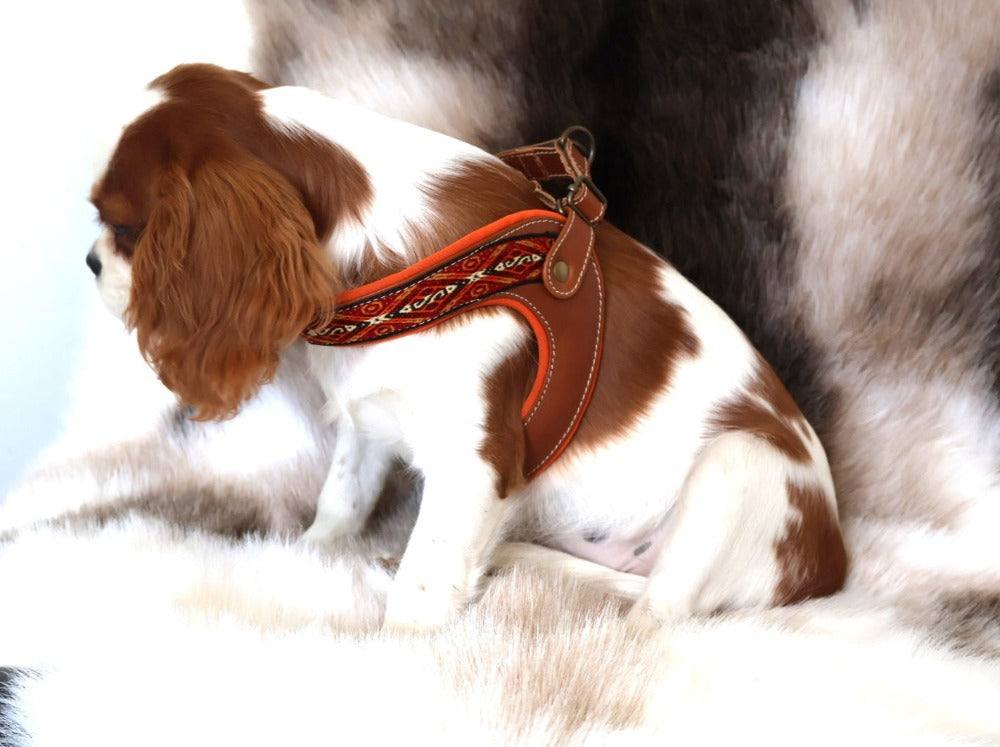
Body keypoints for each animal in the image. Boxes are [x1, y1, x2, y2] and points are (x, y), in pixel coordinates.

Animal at [88, 62, 844, 632]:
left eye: (123, 229)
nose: (90, 261)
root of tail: (833, 562)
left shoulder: (476, 459)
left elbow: (424, 580)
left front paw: (397, 646)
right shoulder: (370, 420)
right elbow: (342, 497)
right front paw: (311, 555)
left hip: (738, 466)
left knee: (660, 614)